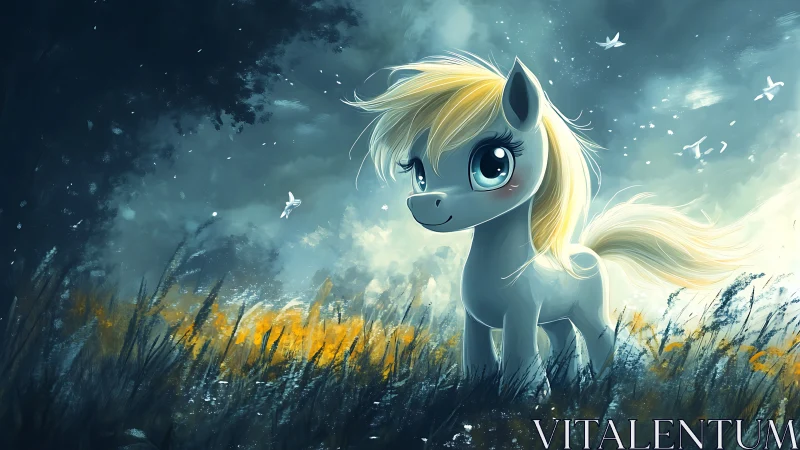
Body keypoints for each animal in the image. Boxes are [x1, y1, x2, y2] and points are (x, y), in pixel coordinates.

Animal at [345, 52, 751, 398]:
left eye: (492, 164)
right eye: (418, 172)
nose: (424, 203)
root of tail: (587, 253)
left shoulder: (521, 315)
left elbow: (520, 358)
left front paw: (527, 398)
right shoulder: (474, 319)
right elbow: (478, 360)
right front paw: (484, 388)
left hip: (588, 309)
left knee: (600, 334)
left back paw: (604, 382)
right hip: (556, 315)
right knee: (563, 336)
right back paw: (570, 382)